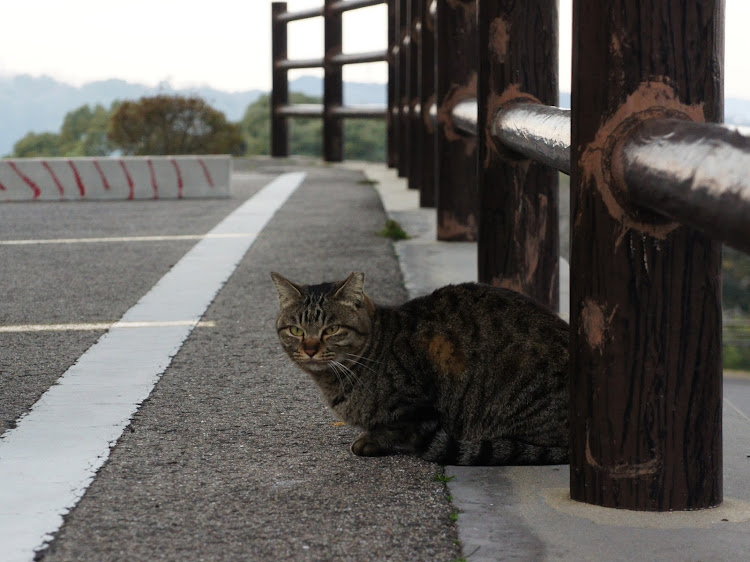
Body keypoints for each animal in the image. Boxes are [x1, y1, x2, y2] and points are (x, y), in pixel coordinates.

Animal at [270, 272, 568, 464]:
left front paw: (371, 441)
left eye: (331, 329)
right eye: (296, 330)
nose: (310, 349)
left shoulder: (417, 400)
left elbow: (398, 428)